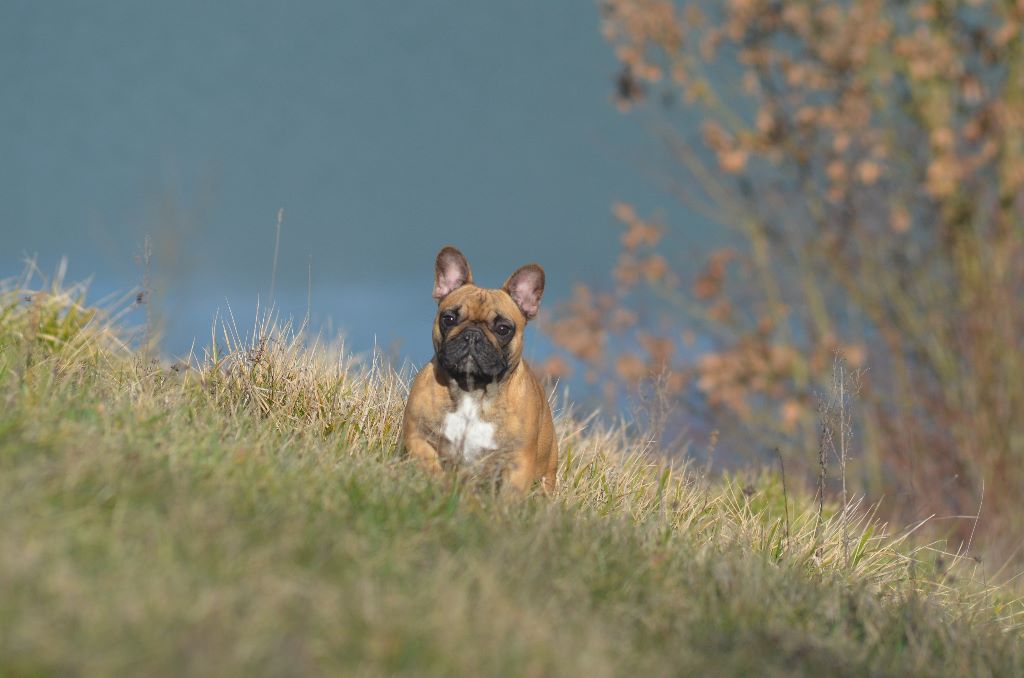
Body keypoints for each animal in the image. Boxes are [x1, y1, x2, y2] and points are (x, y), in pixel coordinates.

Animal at [401, 246, 561, 491]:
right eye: (448, 318)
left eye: (503, 329)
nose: (472, 335)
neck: (472, 389)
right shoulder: (418, 437)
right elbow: (430, 465)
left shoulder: (517, 463)